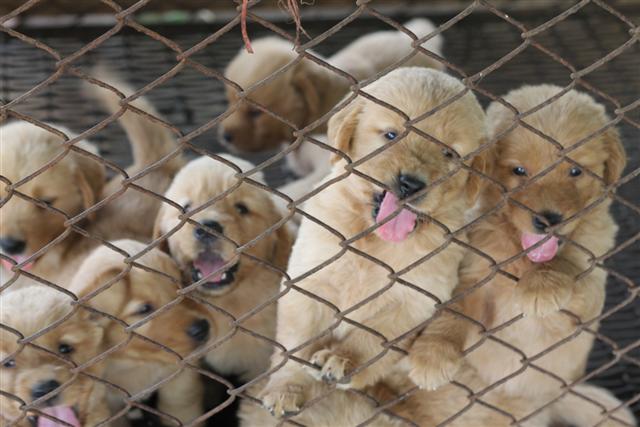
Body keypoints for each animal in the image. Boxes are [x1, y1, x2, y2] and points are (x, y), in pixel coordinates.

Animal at [68, 239, 212, 426]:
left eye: (181, 285)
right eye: (144, 309)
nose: (203, 328)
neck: (135, 363)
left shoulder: (182, 380)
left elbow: (182, 408)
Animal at [257, 67, 489, 419]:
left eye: (448, 153)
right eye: (391, 135)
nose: (410, 185)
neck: (372, 240)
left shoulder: (417, 299)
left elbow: (372, 336)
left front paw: (344, 359)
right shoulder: (309, 281)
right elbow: (297, 343)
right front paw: (287, 388)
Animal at [409, 85, 635, 426]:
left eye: (575, 171)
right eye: (519, 170)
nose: (547, 220)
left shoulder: (591, 283)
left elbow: (571, 265)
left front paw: (542, 283)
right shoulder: (477, 275)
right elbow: (455, 310)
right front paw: (432, 354)